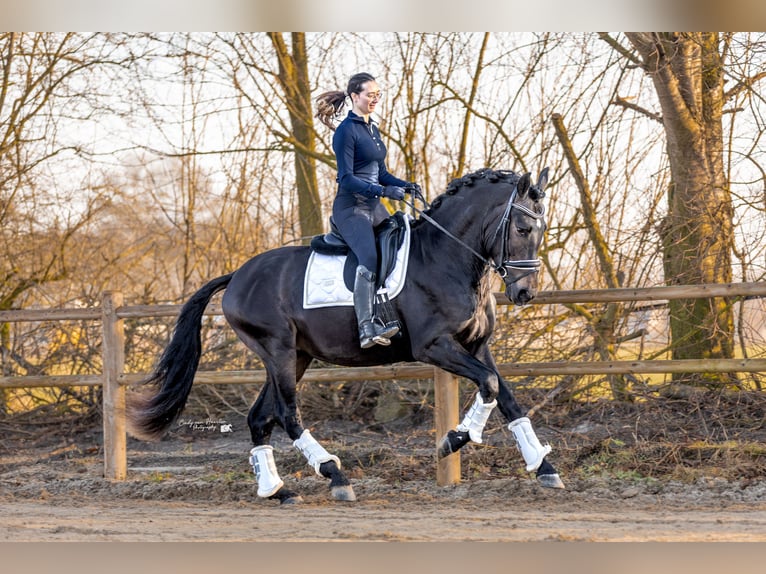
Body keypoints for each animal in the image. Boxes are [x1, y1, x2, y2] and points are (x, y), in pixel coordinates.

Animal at [128, 167, 564, 504]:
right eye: (522, 227)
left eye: (543, 228)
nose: (525, 293)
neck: (446, 258)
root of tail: (238, 275)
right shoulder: (434, 346)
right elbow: (489, 384)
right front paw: (455, 439)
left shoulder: (476, 345)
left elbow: (506, 396)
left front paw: (544, 467)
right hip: (277, 350)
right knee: (287, 414)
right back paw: (334, 475)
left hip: (296, 355)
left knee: (259, 418)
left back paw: (278, 491)